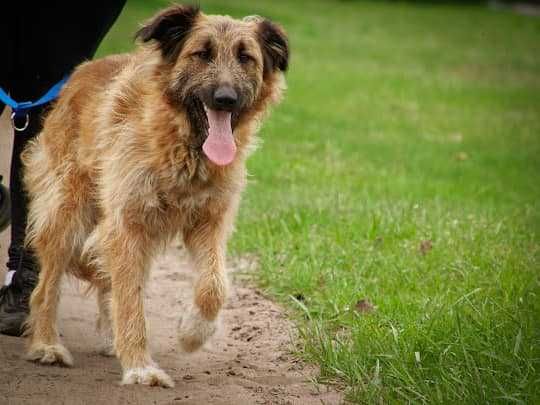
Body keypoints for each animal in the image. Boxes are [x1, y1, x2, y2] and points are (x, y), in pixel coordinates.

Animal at [20, 4, 288, 386]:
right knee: (47, 288)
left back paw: (109, 336)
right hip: (67, 212)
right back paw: (46, 345)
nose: (225, 98)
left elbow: (214, 285)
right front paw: (140, 366)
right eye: (201, 54)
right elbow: (131, 300)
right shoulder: (127, 224)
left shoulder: (208, 223)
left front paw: (193, 333)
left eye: (245, 57)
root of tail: (77, 76)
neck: (183, 145)